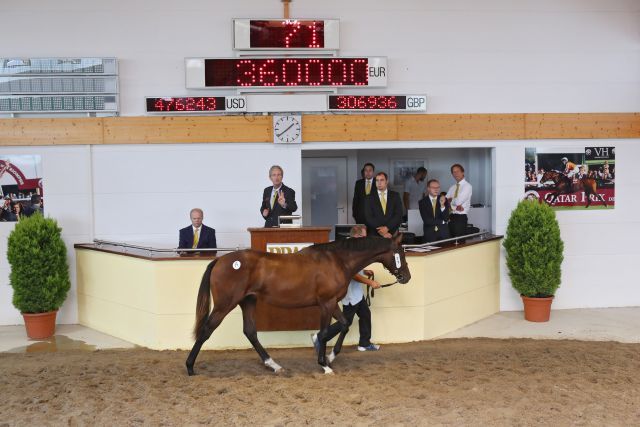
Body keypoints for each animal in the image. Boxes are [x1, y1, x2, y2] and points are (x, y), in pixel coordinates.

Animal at [188, 232, 412, 376]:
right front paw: (324, 364)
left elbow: (344, 325)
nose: (406, 277)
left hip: (248, 301)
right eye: (400, 253)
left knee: (250, 331)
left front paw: (330, 357)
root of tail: (220, 261)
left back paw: (274, 365)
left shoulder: (332, 303)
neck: (337, 260)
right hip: (225, 305)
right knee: (207, 329)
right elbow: (324, 332)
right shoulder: (326, 303)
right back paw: (190, 366)